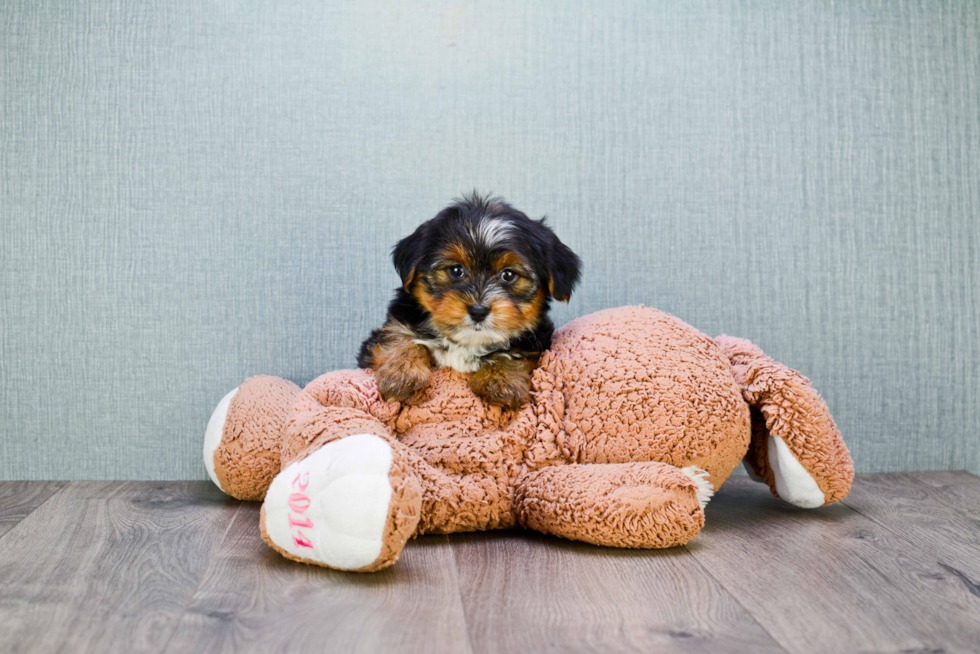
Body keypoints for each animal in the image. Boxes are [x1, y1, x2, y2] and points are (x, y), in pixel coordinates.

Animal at [356, 195, 580, 410]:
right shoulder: (394, 323)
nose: (478, 311)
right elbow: (398, 336)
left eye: (508, 275)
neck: (467, 342)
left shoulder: (536, 342)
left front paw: (502, 381)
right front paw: (401, 374)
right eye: (456, 270)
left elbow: (511, 352)